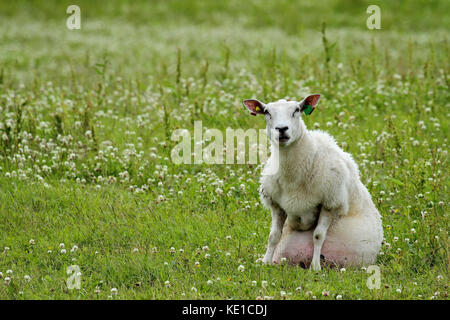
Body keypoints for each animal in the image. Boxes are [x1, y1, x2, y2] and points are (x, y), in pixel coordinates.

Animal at [243, 95, 384, 270]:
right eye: (267, 112)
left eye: (297, 110)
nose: (282, 129)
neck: (292, 177)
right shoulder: (276, 205)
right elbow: (273, 236)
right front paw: (265, 262)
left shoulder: (330, 203)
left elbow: (318, 235)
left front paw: (315, 267)